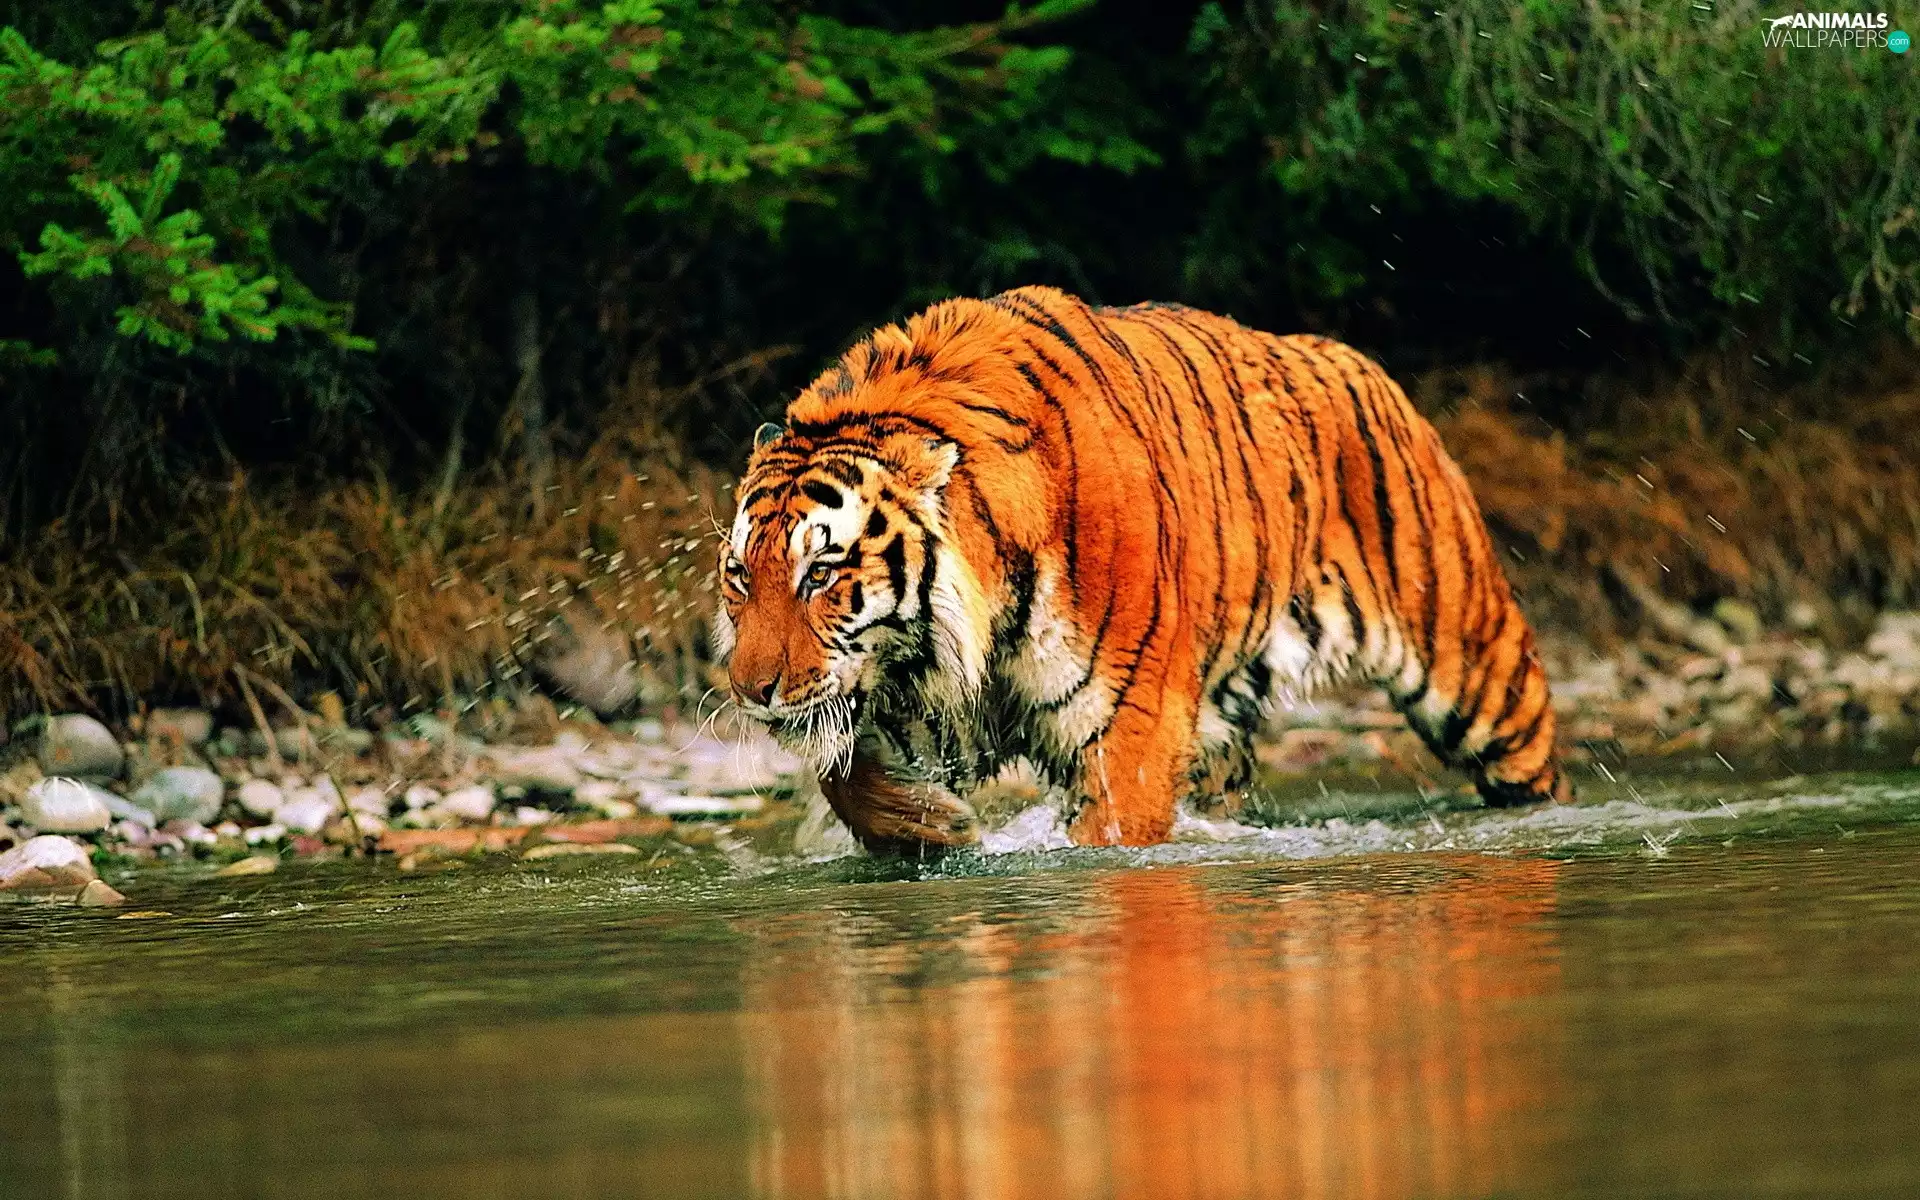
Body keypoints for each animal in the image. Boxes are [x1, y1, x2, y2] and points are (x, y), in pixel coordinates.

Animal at [713, 286, 1571, 854]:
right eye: (741, 578)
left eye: (821, 576)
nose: (750, 691)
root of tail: (1357, 361)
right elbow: (843, 776)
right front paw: (933, 826)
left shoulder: (1128, 727)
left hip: (1479, 672)